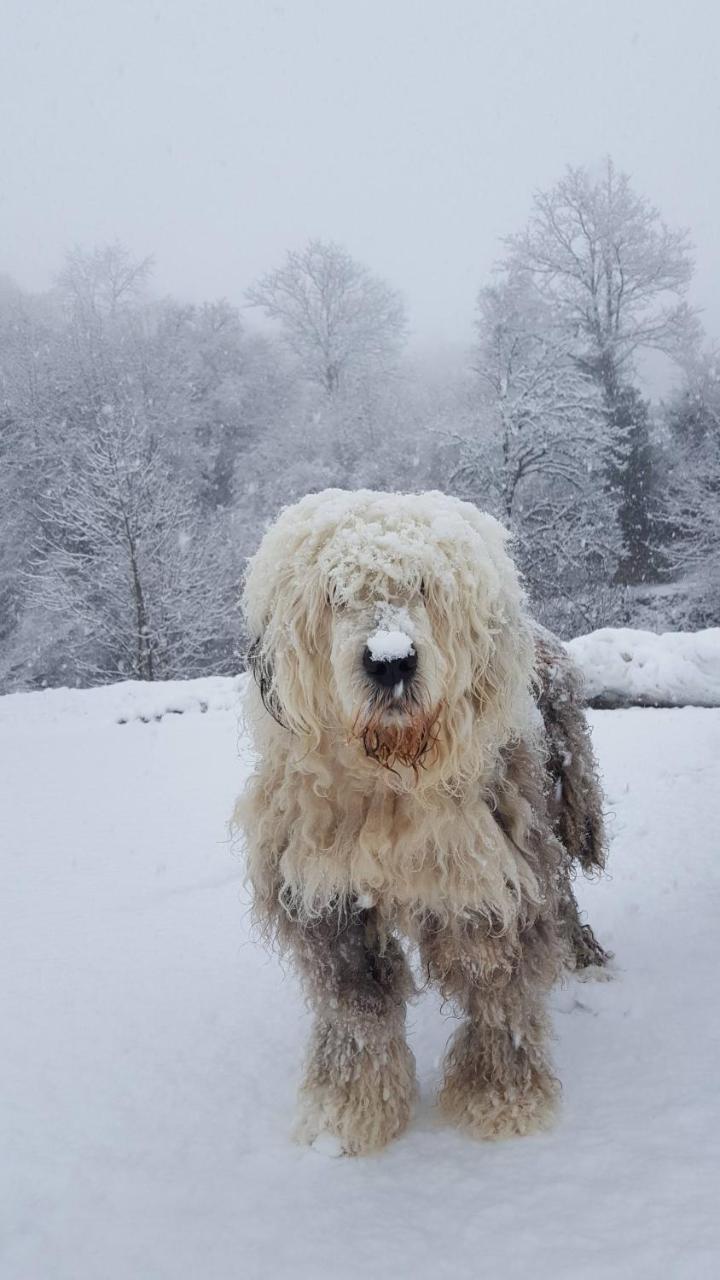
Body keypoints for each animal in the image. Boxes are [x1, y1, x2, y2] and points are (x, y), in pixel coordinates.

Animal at [235, 483, 604, 1157]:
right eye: (336, 595)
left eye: (426, 588)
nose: (390, 662)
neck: (392, 776)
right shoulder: (331, 900)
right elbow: (357, 1011)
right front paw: (348, 1111)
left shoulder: (489, 885)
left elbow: (499, 1000)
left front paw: (501, 1102)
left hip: (549, 821)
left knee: (563, 896)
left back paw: (585, 958)